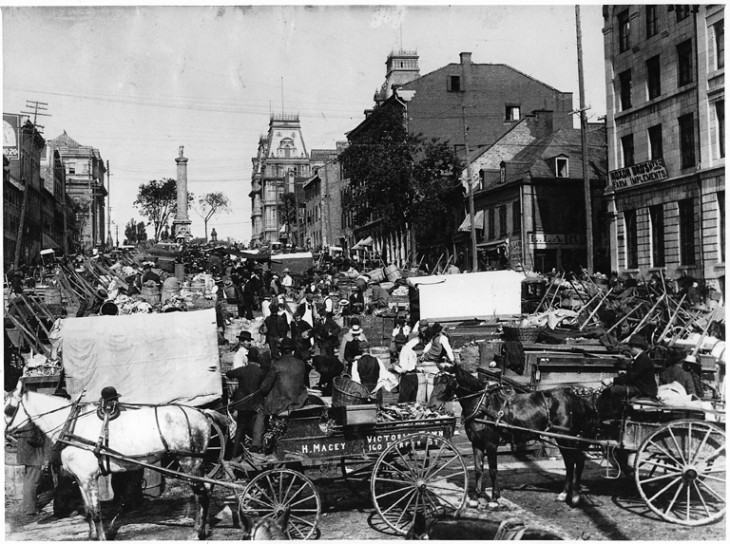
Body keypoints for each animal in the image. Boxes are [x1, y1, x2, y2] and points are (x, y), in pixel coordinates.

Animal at [4, 380, 225, 540]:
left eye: (8, 409)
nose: (6, 435)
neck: (72, 426)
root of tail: (202, 413)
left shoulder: (89, 478)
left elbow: (95, 511)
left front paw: (100, 538)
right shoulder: (82, 480)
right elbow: (88, 510)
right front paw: (92, 536)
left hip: (189, 462)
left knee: (202, 494)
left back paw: (197, 532)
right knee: (205, 489)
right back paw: (202, 528)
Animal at [430, 364, 596, 508]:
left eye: (446, 381)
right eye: (435, 380)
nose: (431, 405)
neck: (482, 406)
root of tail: (577, 399)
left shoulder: (491, 444)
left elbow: (493, 470)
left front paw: (494, 499)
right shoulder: (476, 443)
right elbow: (478, 470)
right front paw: (475, 498)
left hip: (566, 437)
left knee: (578, 461)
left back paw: (575, 496)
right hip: (561, 438)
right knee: (569, 462)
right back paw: (564, 494)